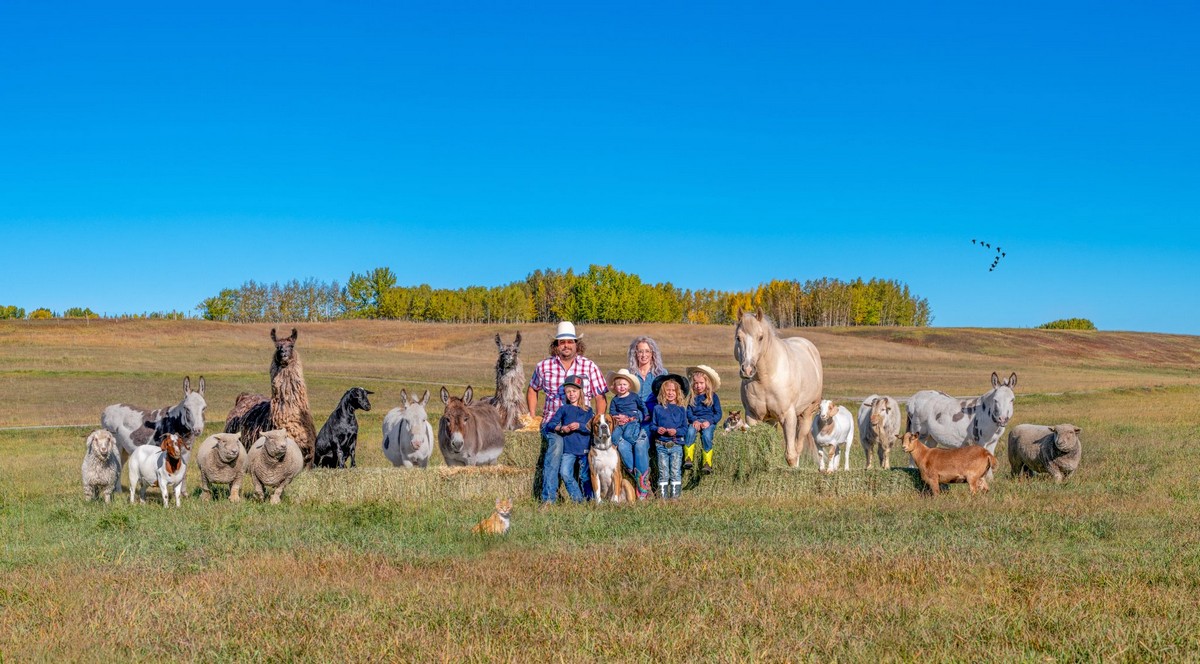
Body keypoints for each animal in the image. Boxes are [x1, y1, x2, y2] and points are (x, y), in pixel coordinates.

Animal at [729, 307, 825, 465]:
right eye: (738, 338)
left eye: (760, 337)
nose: (747, 370)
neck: (765, 380)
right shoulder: (753, 417)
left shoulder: (788, 417)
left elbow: (791, 455)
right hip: (771, 420)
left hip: (805, 415)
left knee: (798, 448)